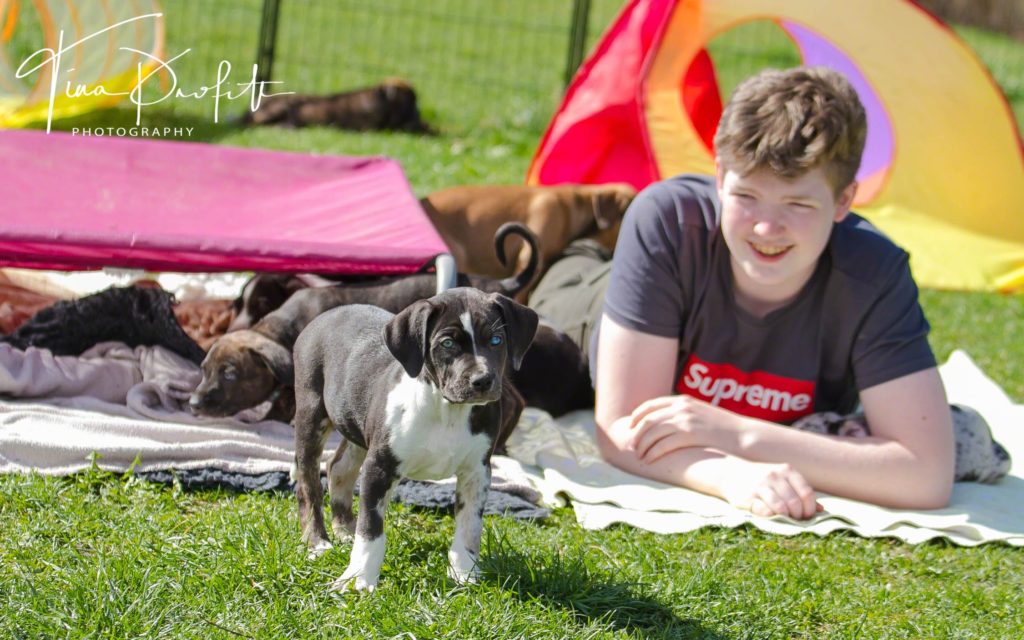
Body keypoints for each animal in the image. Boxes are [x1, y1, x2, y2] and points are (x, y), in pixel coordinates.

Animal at [190, 224, 541, 421]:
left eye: (231, 375)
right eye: (203, 370)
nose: (193, 403)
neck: (283, 327)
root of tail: (501, 284)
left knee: (513, 402)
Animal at [292, 289, 538, 591]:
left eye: (496, 340)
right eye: (447, 343)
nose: (482, 380)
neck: (447, 410)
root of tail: (324, 316)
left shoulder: (477, 471)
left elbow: (469, 525)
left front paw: (463, 572)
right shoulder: (379, 466)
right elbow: (371, 529)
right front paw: (359, 578)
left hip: (355, 424)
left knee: (338, 468)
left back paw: (344, 529)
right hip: (311, 413)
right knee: (309, 485)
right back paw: (317, 541)